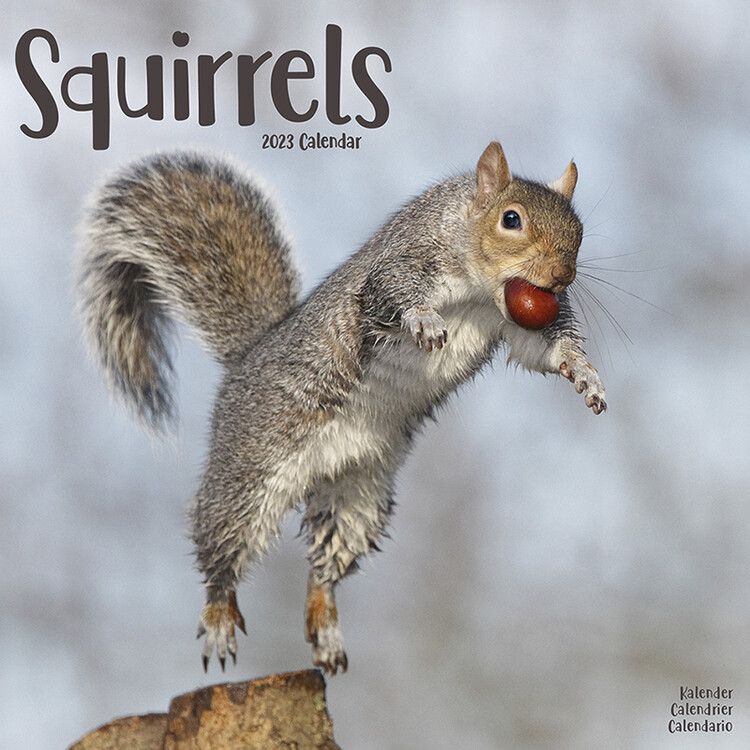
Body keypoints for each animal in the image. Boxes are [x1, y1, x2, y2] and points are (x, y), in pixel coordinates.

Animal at [77, 141, 606, 675]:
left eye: (579, 227)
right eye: (510, 219)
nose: (562, 275)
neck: (481, 289)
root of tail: (247, 359)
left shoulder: (516, 323)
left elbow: (544, 349)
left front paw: (584, 375)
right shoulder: (402, 263)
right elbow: (394, 294)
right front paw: (425, 321)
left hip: (357, 494)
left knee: (324, 566)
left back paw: (326, 625)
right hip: (249, 471)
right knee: (222, 542)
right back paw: (220, 613)